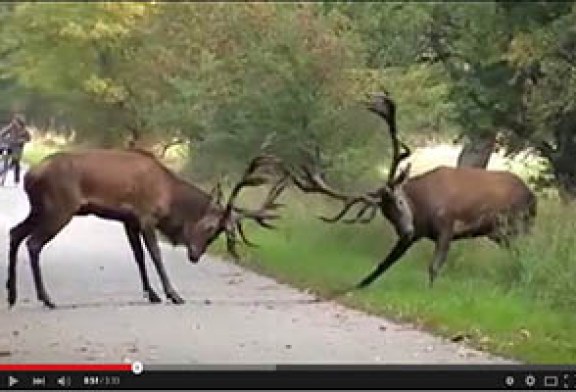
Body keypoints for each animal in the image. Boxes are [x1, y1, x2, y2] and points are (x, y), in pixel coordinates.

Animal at [7, 149, 288, 308]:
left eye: (219, 232)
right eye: (210, 227)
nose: (195, 255)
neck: (169, 195)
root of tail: (31, 175)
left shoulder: (128, 220)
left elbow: (138, 256)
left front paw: (152, 294)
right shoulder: (146, 215)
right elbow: (155, 254)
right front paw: (173, 294)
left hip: (39, 209)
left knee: (14, 233)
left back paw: (11, 294)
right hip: (59, 208)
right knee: (33, 242)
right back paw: (46, 298)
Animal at [286, 92, 536, 290]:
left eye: (399, 201)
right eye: (386, 214)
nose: (405, 230)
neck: (422, 208)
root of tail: (533, 196)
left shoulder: (447, 224)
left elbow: (434, 266)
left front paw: (430, 293)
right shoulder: (416, 234)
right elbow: (383, 264)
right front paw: (356, 286)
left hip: (515, 224)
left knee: (525, 253)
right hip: (500, 232)